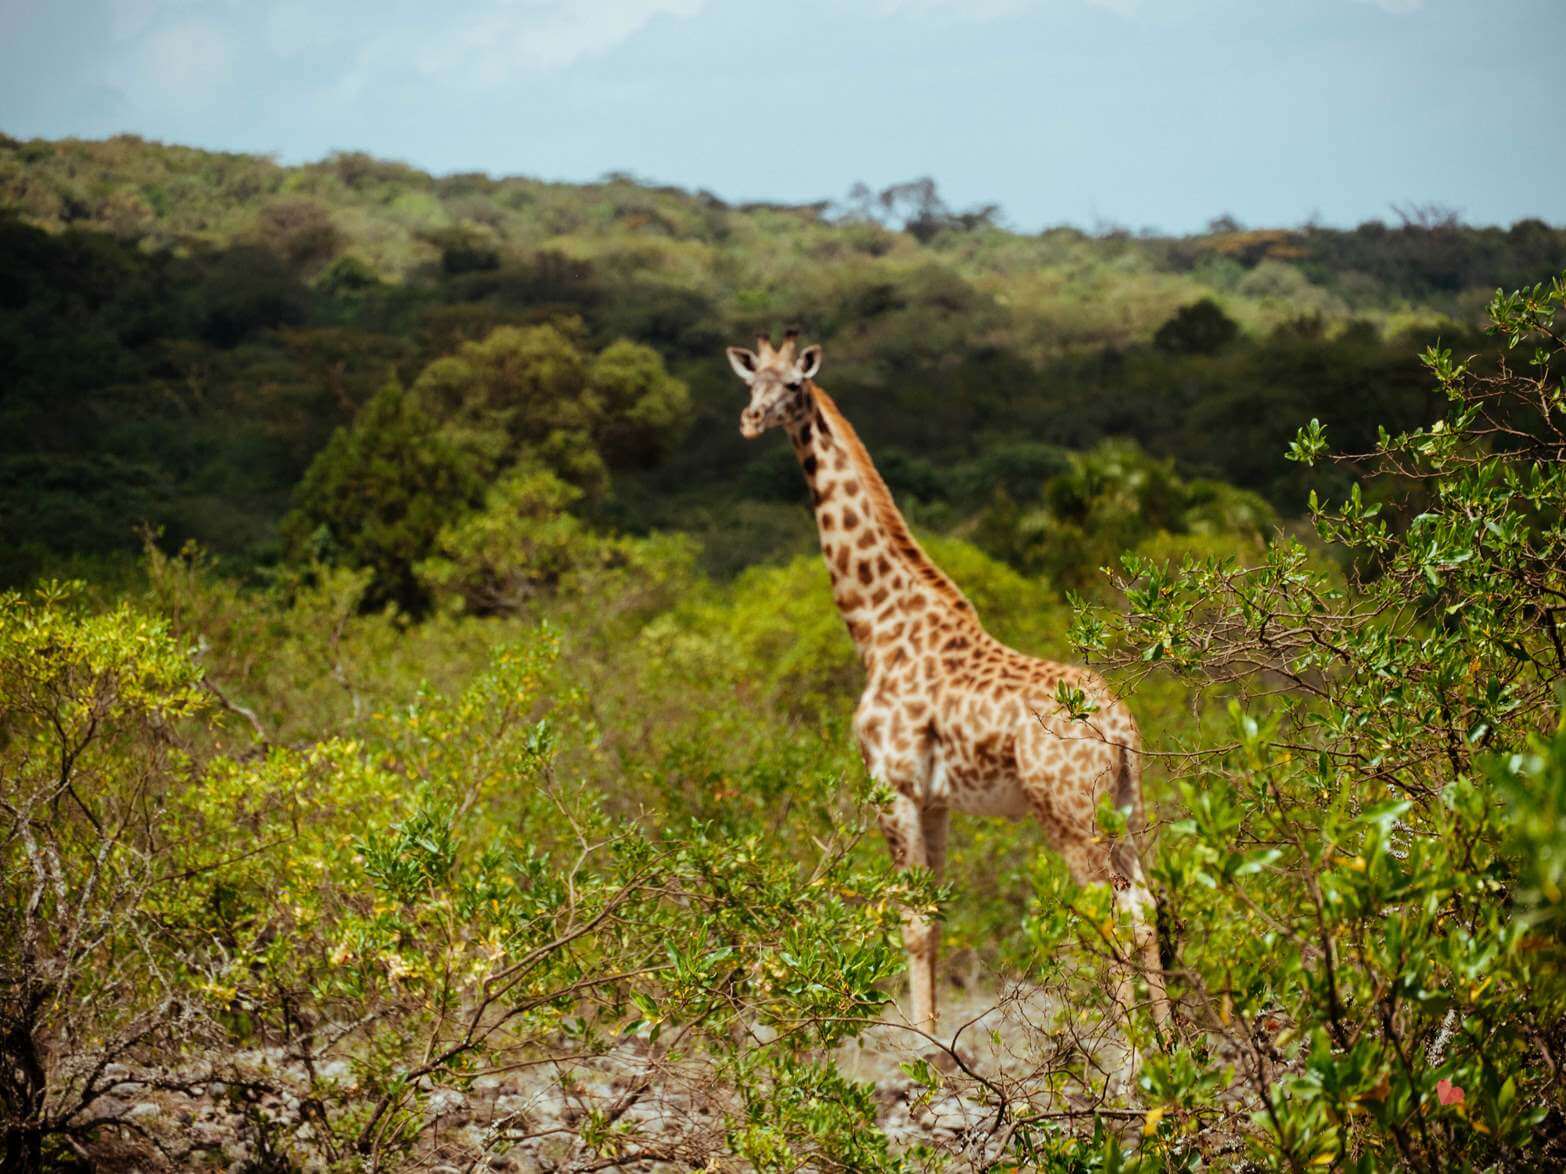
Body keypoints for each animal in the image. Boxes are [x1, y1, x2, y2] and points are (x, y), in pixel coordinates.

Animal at [726, 334, 1171, 1051]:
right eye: (751, 384)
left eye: (794, 385)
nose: (751, 419)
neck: (876, 626)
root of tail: (1121, 727)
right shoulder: (936, 800)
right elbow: (933, 918)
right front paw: (934, 1053)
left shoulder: (892, 786)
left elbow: (909, 920)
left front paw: (925, 1055)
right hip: (1123, 807)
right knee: (1142, 905)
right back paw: (1171, 1048)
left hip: (1067, 813)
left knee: (1105, 908)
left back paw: (1128, 1063)